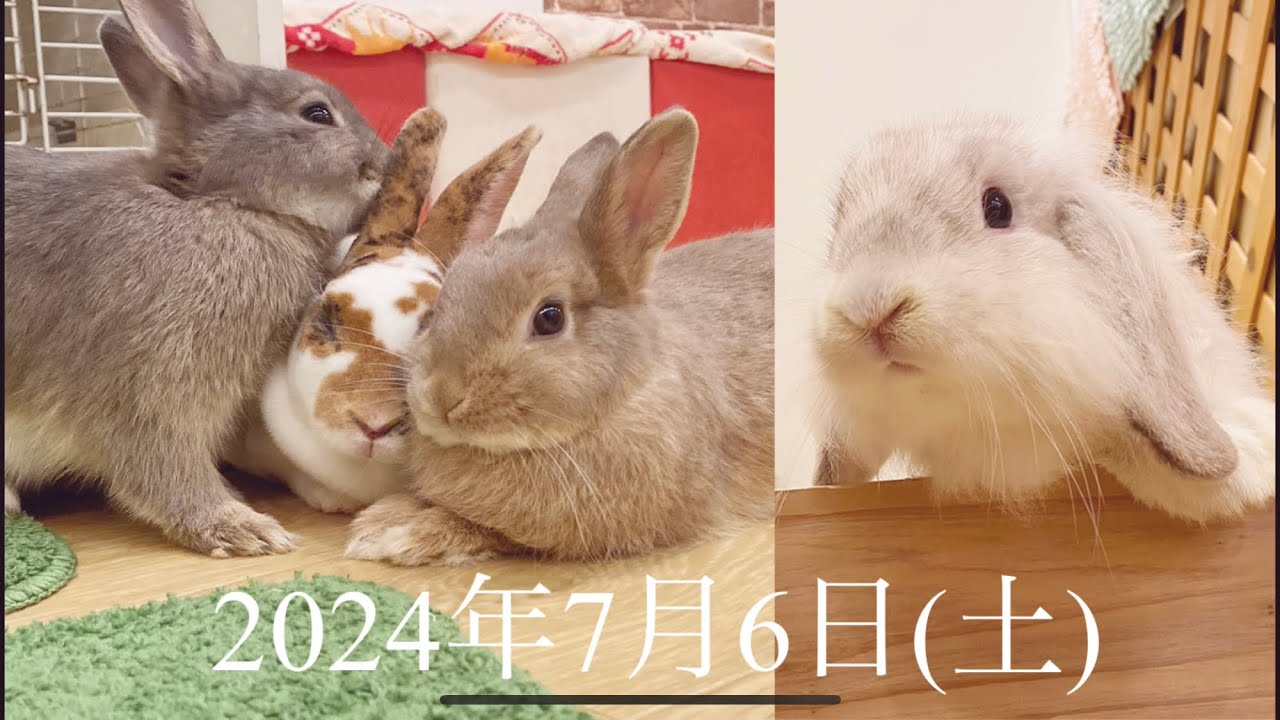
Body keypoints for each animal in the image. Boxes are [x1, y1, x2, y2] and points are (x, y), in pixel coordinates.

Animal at [3, 0, 389, 556]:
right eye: (316, 114)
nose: (384, 162)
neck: (226, 202)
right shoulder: (151, 384)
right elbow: (163, 468)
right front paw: (241, 527)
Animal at [344, 108, 776, 566]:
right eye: (440, 302)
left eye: (550, 319)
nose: (439, 396)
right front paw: (383, 520)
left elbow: (493, 530)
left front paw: (397, 531)